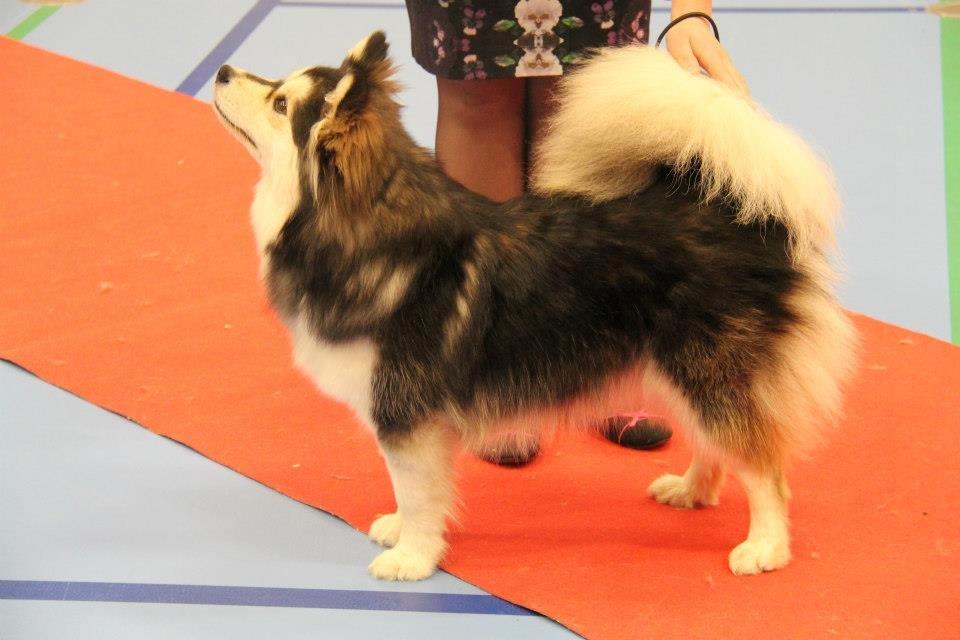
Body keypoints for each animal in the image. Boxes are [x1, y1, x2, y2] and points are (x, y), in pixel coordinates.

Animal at [212, 31, 856, 580]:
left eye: (280, 104)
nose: (221, 72)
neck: (360, 231)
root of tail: (735, 211)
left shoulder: (403, 407)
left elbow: (417, 490)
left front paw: (413, 557)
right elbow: (415, 491)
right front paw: (402, 532)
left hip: (706, 369)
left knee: (764, 466)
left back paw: (764, 548)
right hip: (679, 374)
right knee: (719, 445)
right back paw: (691, 491)